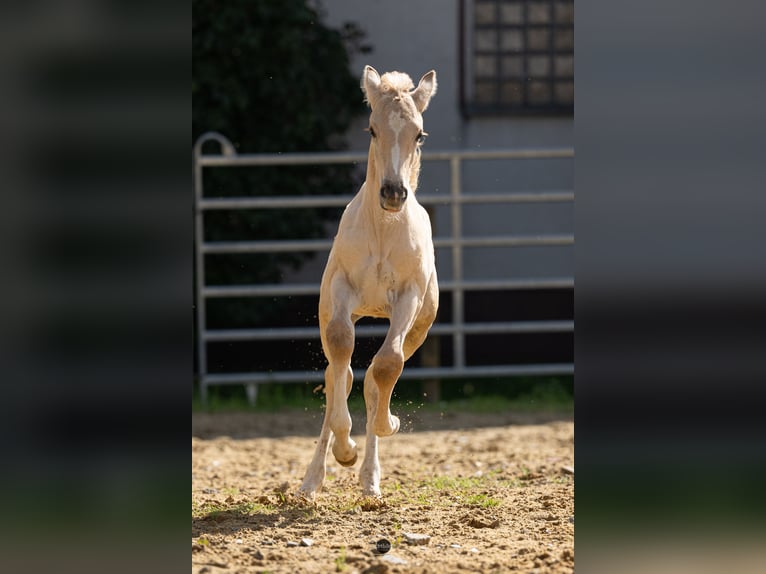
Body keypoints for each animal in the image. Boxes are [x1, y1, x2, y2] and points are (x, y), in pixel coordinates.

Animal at [300, 66, 438, 500]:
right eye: (373, 129)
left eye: (419, 134)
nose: (393, 193)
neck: (383, 231)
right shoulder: (341, 293)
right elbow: (342, 351)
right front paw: (344, 451)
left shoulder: (409, 299)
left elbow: (386, 367)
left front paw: (389, 423)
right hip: (330, 311)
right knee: (337, 378)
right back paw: (312, 479)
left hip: (418, 329)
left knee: (377, 376)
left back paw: (369, 480)